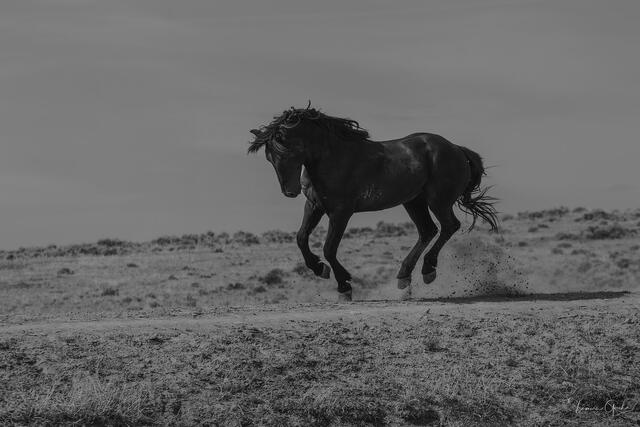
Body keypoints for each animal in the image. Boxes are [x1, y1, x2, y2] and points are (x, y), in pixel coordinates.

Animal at [248, 104, 498, 301]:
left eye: (286, 152)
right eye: (270, 158)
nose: (290, 192)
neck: (333, 159)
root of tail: (457, 149)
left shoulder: (341, 212)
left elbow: (329, 248)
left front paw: (344, 286)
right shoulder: (314, 206)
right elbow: (301, 239)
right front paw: (320, 269)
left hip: (438, 201)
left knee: (449, 226)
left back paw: (428, 270)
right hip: (414, 202)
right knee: (428, 230)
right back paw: (404, 277)